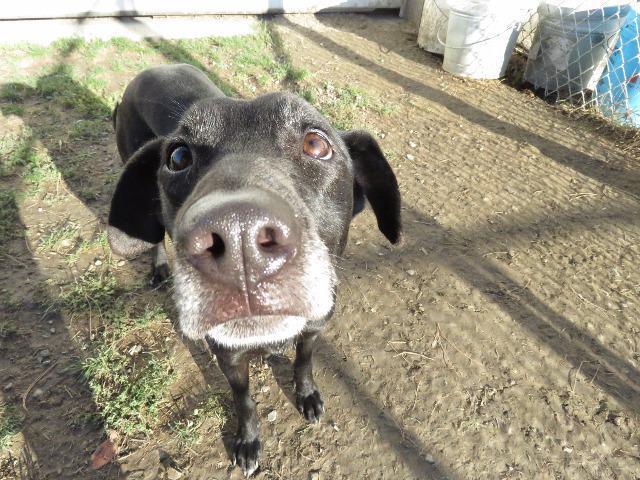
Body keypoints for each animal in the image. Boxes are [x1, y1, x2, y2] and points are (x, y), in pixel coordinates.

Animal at [109, 64, 400, 476]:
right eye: (178, 157)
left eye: (316, 144)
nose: (238, 238)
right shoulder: (228, 356)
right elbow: (243, 399)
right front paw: (247, 441)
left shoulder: (315, 327)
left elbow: (304, 361)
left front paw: (307, 394)